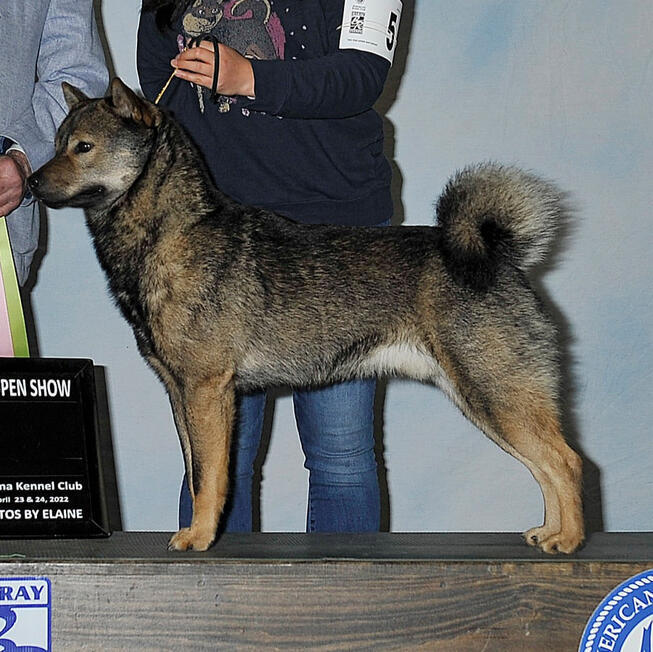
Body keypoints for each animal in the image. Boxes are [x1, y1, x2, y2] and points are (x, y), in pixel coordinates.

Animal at [28, 77, 584, 556]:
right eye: (56, 143)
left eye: (83, 147)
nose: (30, 180)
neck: (173, 233)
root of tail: (494, 253)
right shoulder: (180, 392)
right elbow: (196, 469)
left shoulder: (207, 389)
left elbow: (210, 477)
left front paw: (199, 537)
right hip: (482, 399)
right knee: (546, 465)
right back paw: (548, 532)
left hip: (493, 391)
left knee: (565, 460)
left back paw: (569, 540)